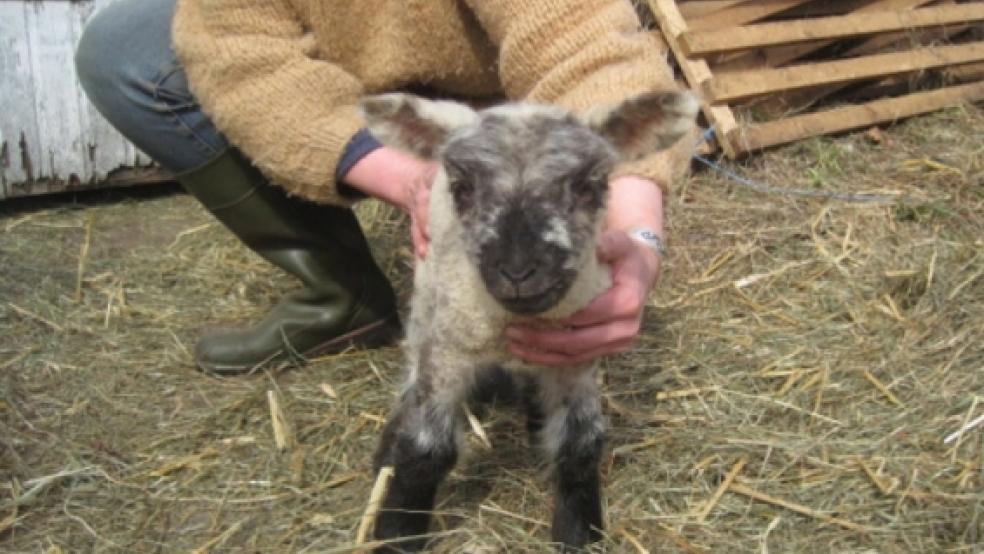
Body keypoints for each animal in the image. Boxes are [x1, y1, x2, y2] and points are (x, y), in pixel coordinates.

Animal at [358, 88, 696, 548]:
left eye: (589, 186)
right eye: (463, 188)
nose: (518, 272)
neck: (510, 327)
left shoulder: (575, 359)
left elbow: (580, 443)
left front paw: (579, 533)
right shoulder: (448, 353)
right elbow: (426, 447)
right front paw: (396, 533)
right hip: (430, 301)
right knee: (413, 366)